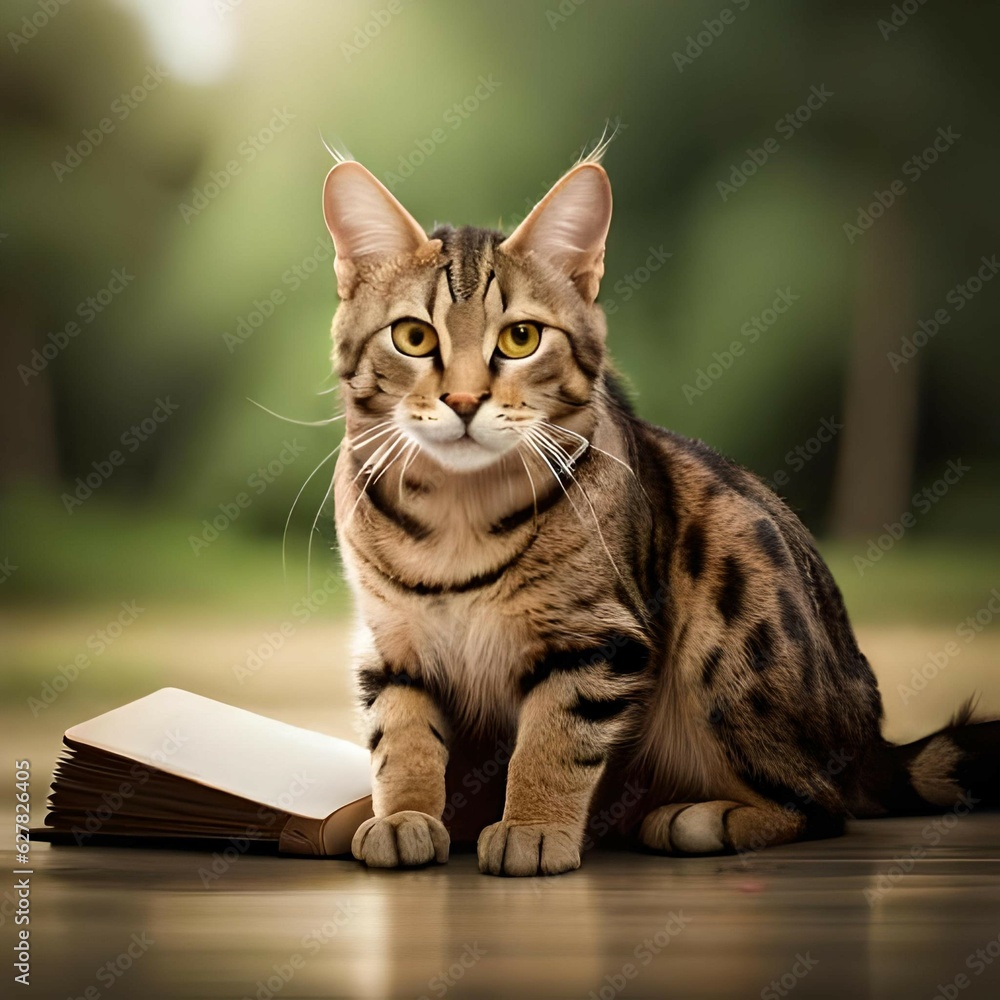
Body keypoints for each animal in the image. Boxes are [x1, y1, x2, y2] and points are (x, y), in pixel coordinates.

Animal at [322, 148, 1000, 876]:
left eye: (522, 338)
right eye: (414, 338)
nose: (465, 400)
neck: (458, 514)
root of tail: (872, 741)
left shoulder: (597, 642)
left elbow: (554, 742)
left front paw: (534, 826)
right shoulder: (391, 644)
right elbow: (403, 737)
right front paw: (407, 815)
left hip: (729, 614)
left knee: (822, 805)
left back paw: (700, 818)